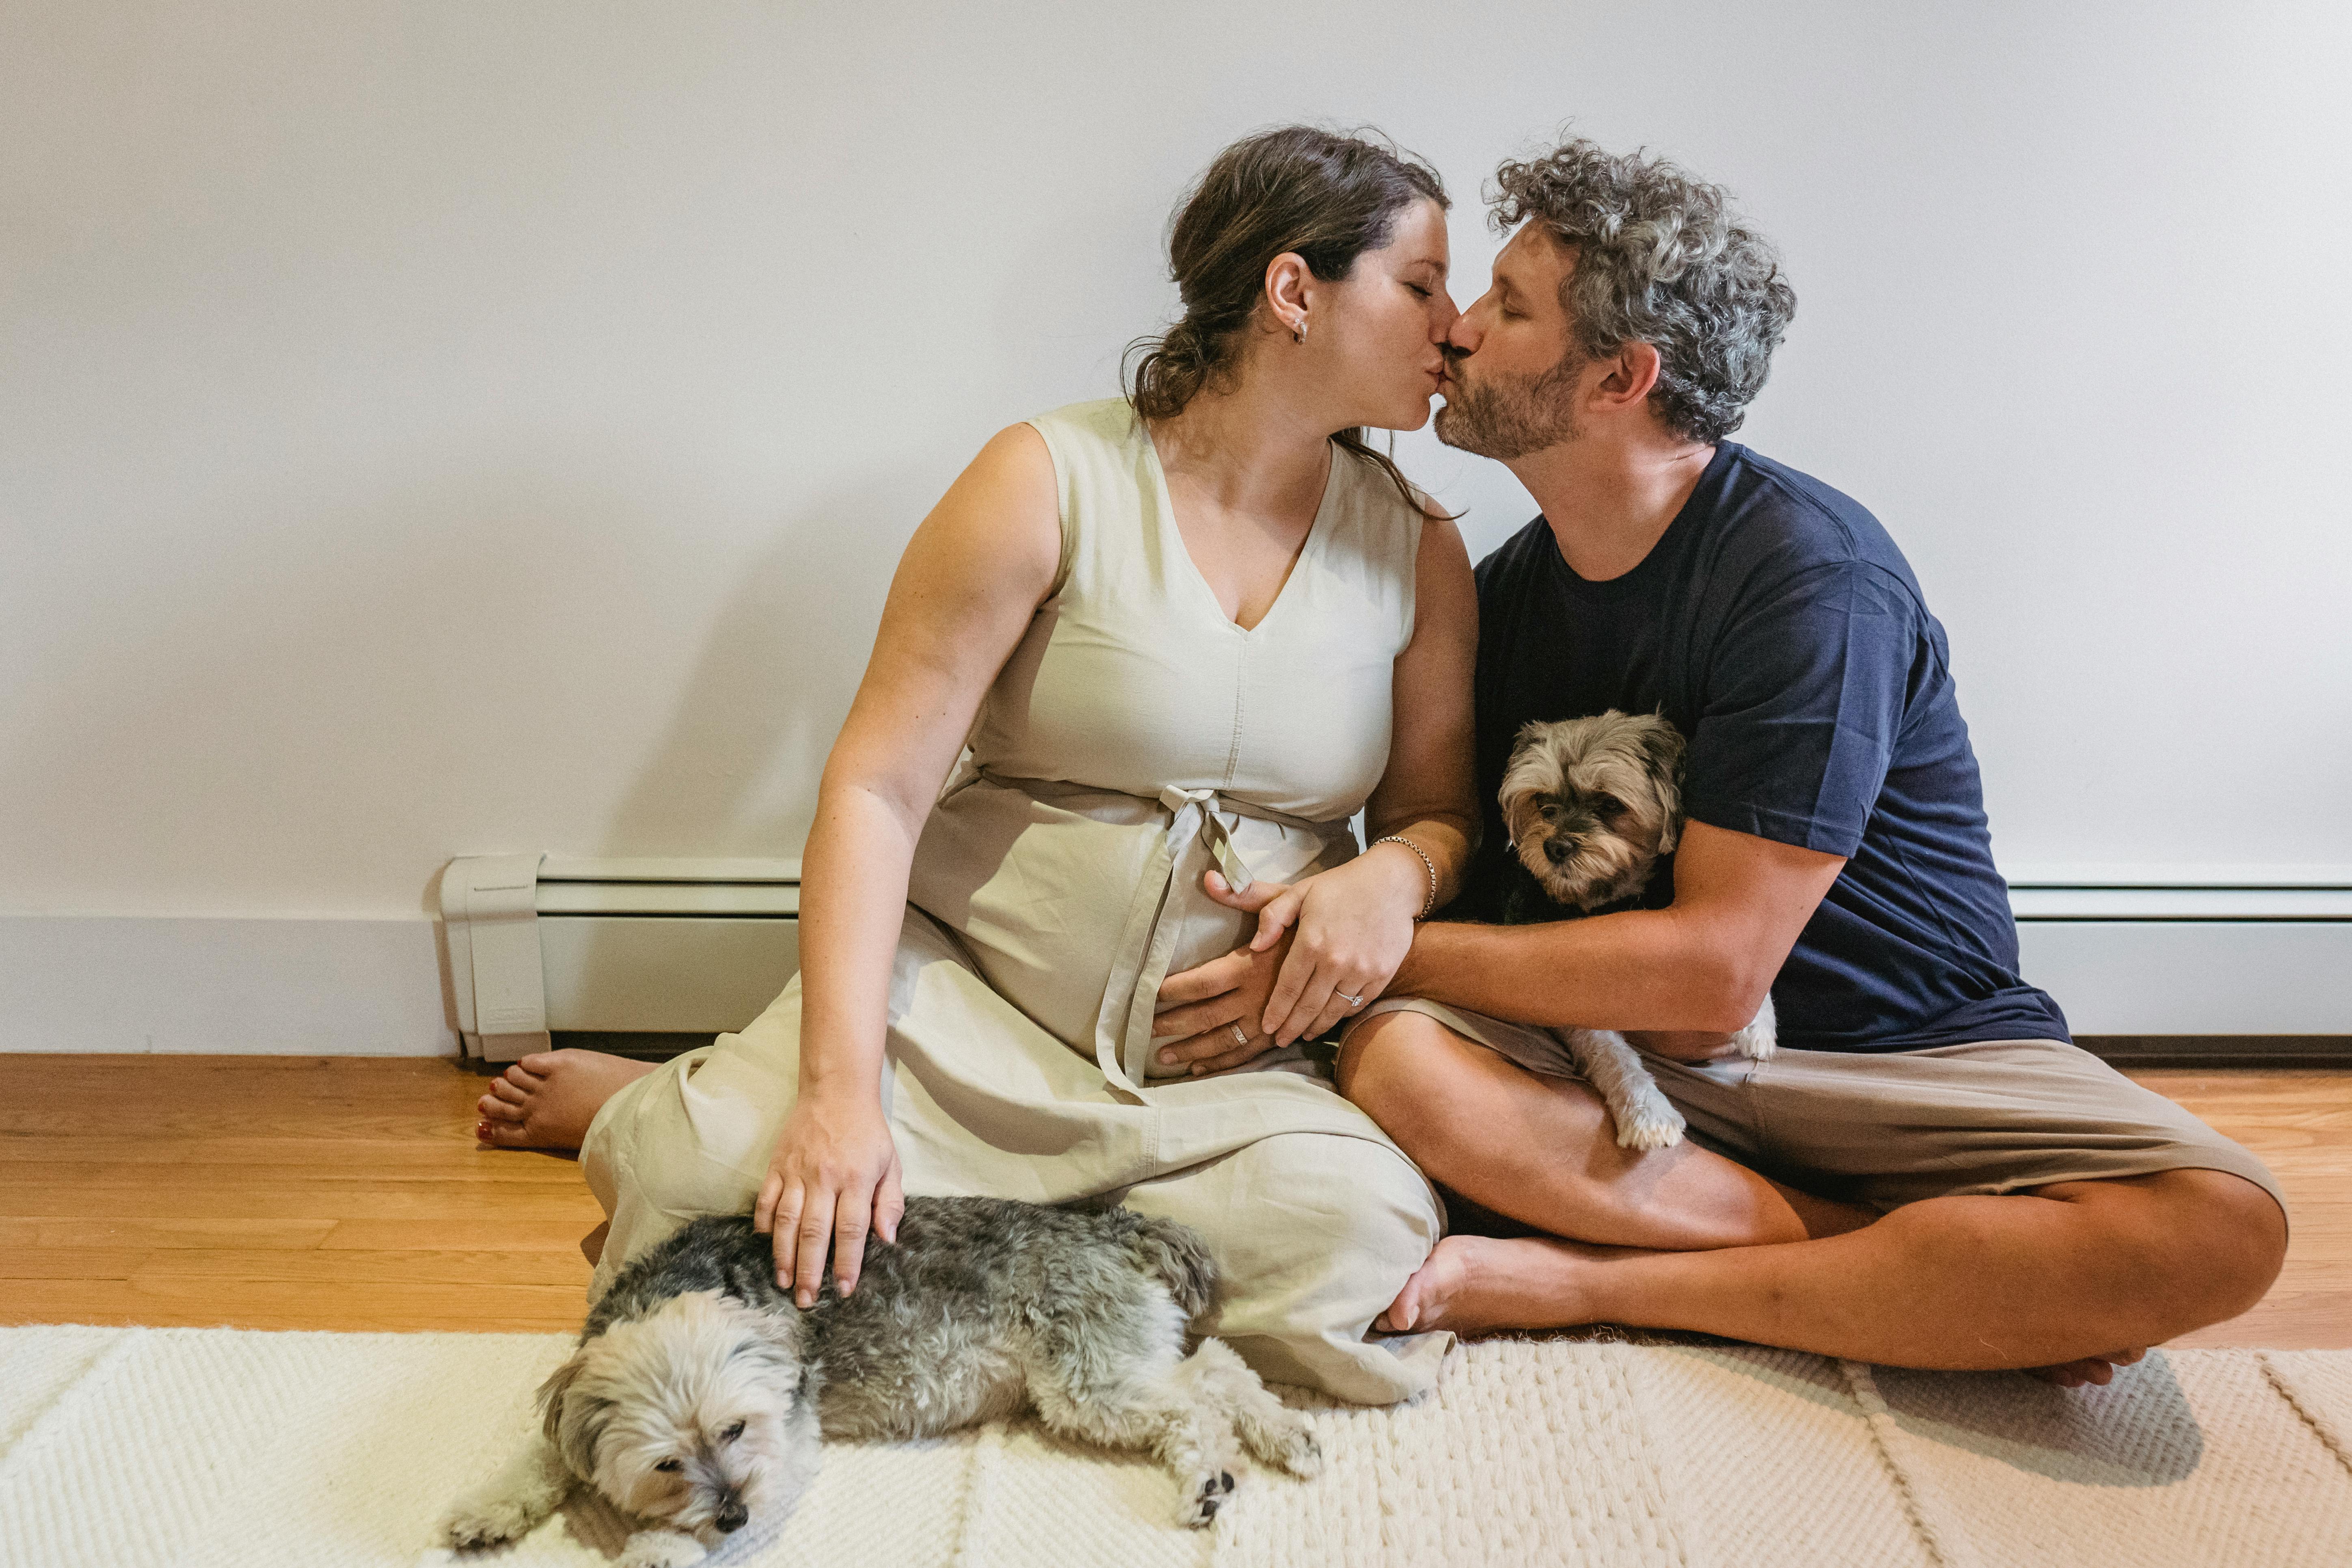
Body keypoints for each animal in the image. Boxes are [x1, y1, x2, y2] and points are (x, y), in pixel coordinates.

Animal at [442, 1194, 1326, 1561]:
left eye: (735, 1427)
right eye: (665, 1461)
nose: (732, 1517)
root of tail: (1110, 1225)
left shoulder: (783, 1443)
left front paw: (657, 1551)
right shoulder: (579, 1400)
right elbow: (543, 1455)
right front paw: (486, 1509)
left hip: (1086, 1379)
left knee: (1195, 1400)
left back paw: (1213, 1479)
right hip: (1114, 1359)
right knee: (1217, 1367)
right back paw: (1286, 1433)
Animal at [1496, 710, 1769, 1152]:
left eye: (1611, 804)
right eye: (1542, 802)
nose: (1554, 848)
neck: (1604, 899)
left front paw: (1759, 1023)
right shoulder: (1565, 993)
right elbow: (1611, 1053)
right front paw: (1647, 1111)